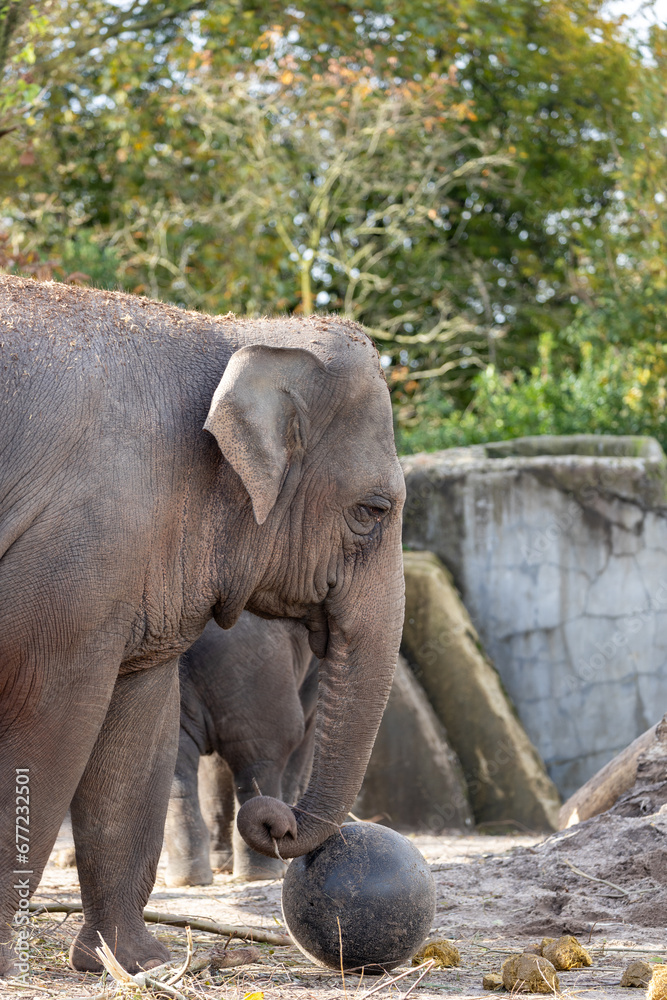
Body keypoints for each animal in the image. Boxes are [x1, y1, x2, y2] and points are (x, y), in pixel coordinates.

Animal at [165, 614, 318, 885]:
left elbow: (213, 765)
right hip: (256, 678)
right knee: (261, 759)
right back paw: (262, 872)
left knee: (176, 767)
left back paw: (189, 879)